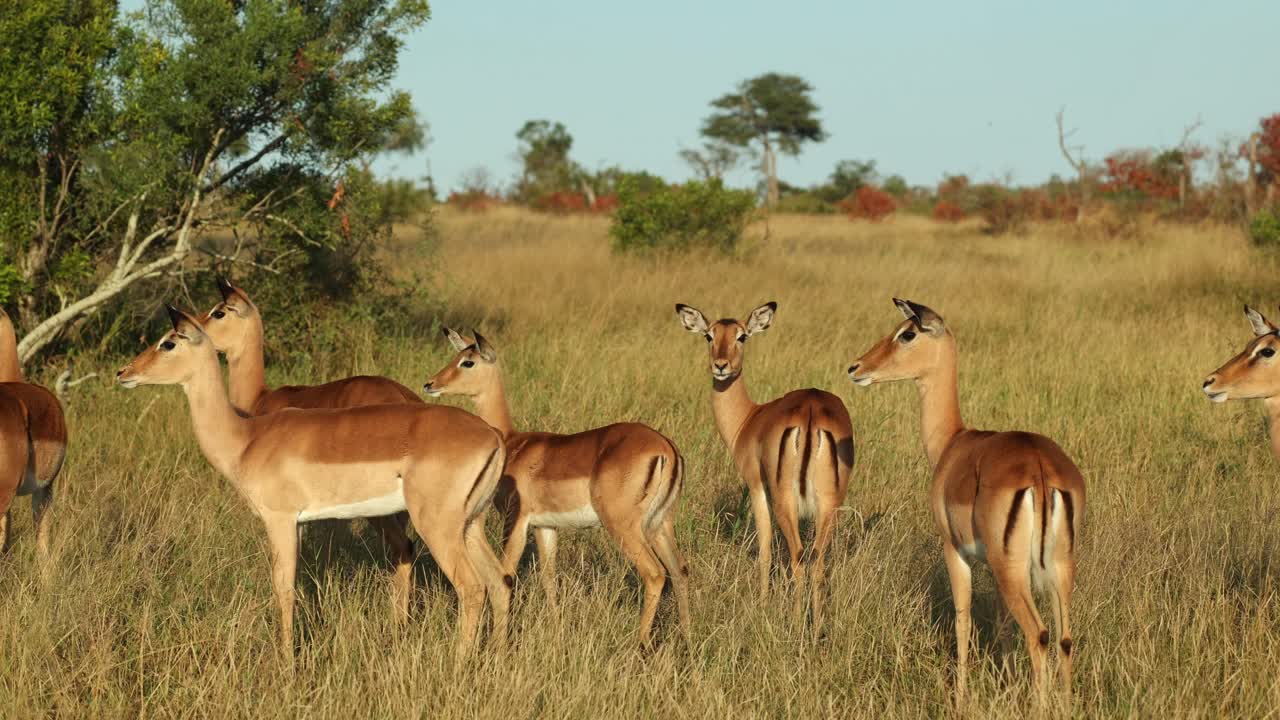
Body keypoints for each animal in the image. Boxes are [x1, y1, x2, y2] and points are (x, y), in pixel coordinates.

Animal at [423, 328, 691, 649]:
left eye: (468, 362)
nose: (430, 384)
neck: (513, 442)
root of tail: (666, 448)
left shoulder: (516, 520)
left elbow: (506, 572)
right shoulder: (545, 526)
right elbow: (549, 578)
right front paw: (554, 626)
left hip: (625, 526)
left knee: (655, 574)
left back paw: (640, 643)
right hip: (660, 524)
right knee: (680, 571)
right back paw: (689, 637)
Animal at [674, 302, 854, 626]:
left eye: (742, 336)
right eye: (709, 335)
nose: (721, 365)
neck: (749, 419)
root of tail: (811, 409)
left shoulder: (757, 487)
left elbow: (766, 549)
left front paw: (763, 604)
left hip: (785, 500)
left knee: (798, 557)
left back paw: (795, 623)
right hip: (830, 503)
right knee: (817, 560)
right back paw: (817, 625)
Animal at [848, 299, 1084, 705]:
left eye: (907, 333)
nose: (857, 367)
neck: (953, 443)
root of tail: (1039, 469)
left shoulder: (955, 550)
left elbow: (963, 620)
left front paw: (959, 697)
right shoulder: (992, 567)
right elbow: (1003, 627)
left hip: (1014, 569)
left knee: (1039, 635)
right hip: (1056, 566)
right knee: (1064, 638)